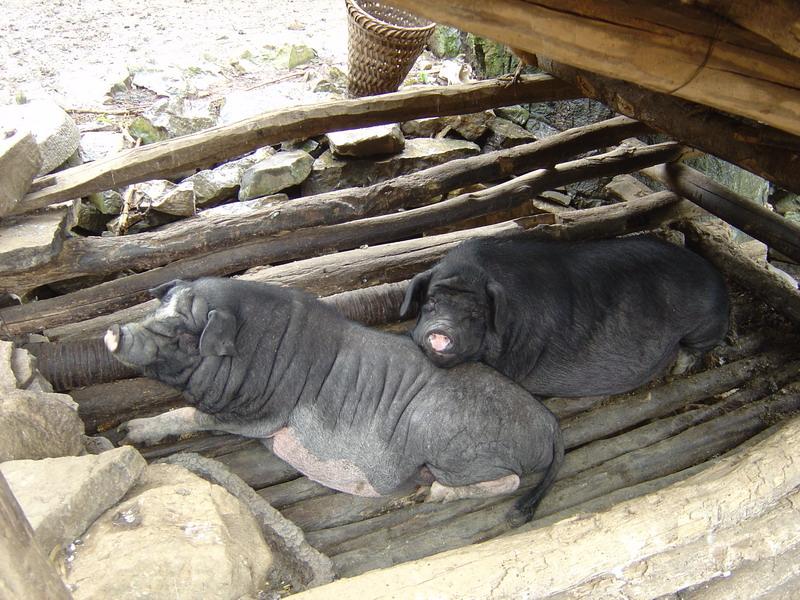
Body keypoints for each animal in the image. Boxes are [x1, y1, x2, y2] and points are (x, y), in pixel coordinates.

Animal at [108, 278, 564, 524]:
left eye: (183, 333)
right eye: (155, 310)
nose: (115, 332)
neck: (246, 349)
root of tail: (550, 424)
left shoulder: (259, 414)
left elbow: (192, 414)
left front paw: (129, 431)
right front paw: (125, 430)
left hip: (450, 443)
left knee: (509, 481)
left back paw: (429, 495)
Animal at [400, 236, 732, 398]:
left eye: (476, 313)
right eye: (431, 301)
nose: (441, 331)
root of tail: (718, 278)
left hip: (704, 324)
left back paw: (678, 368)